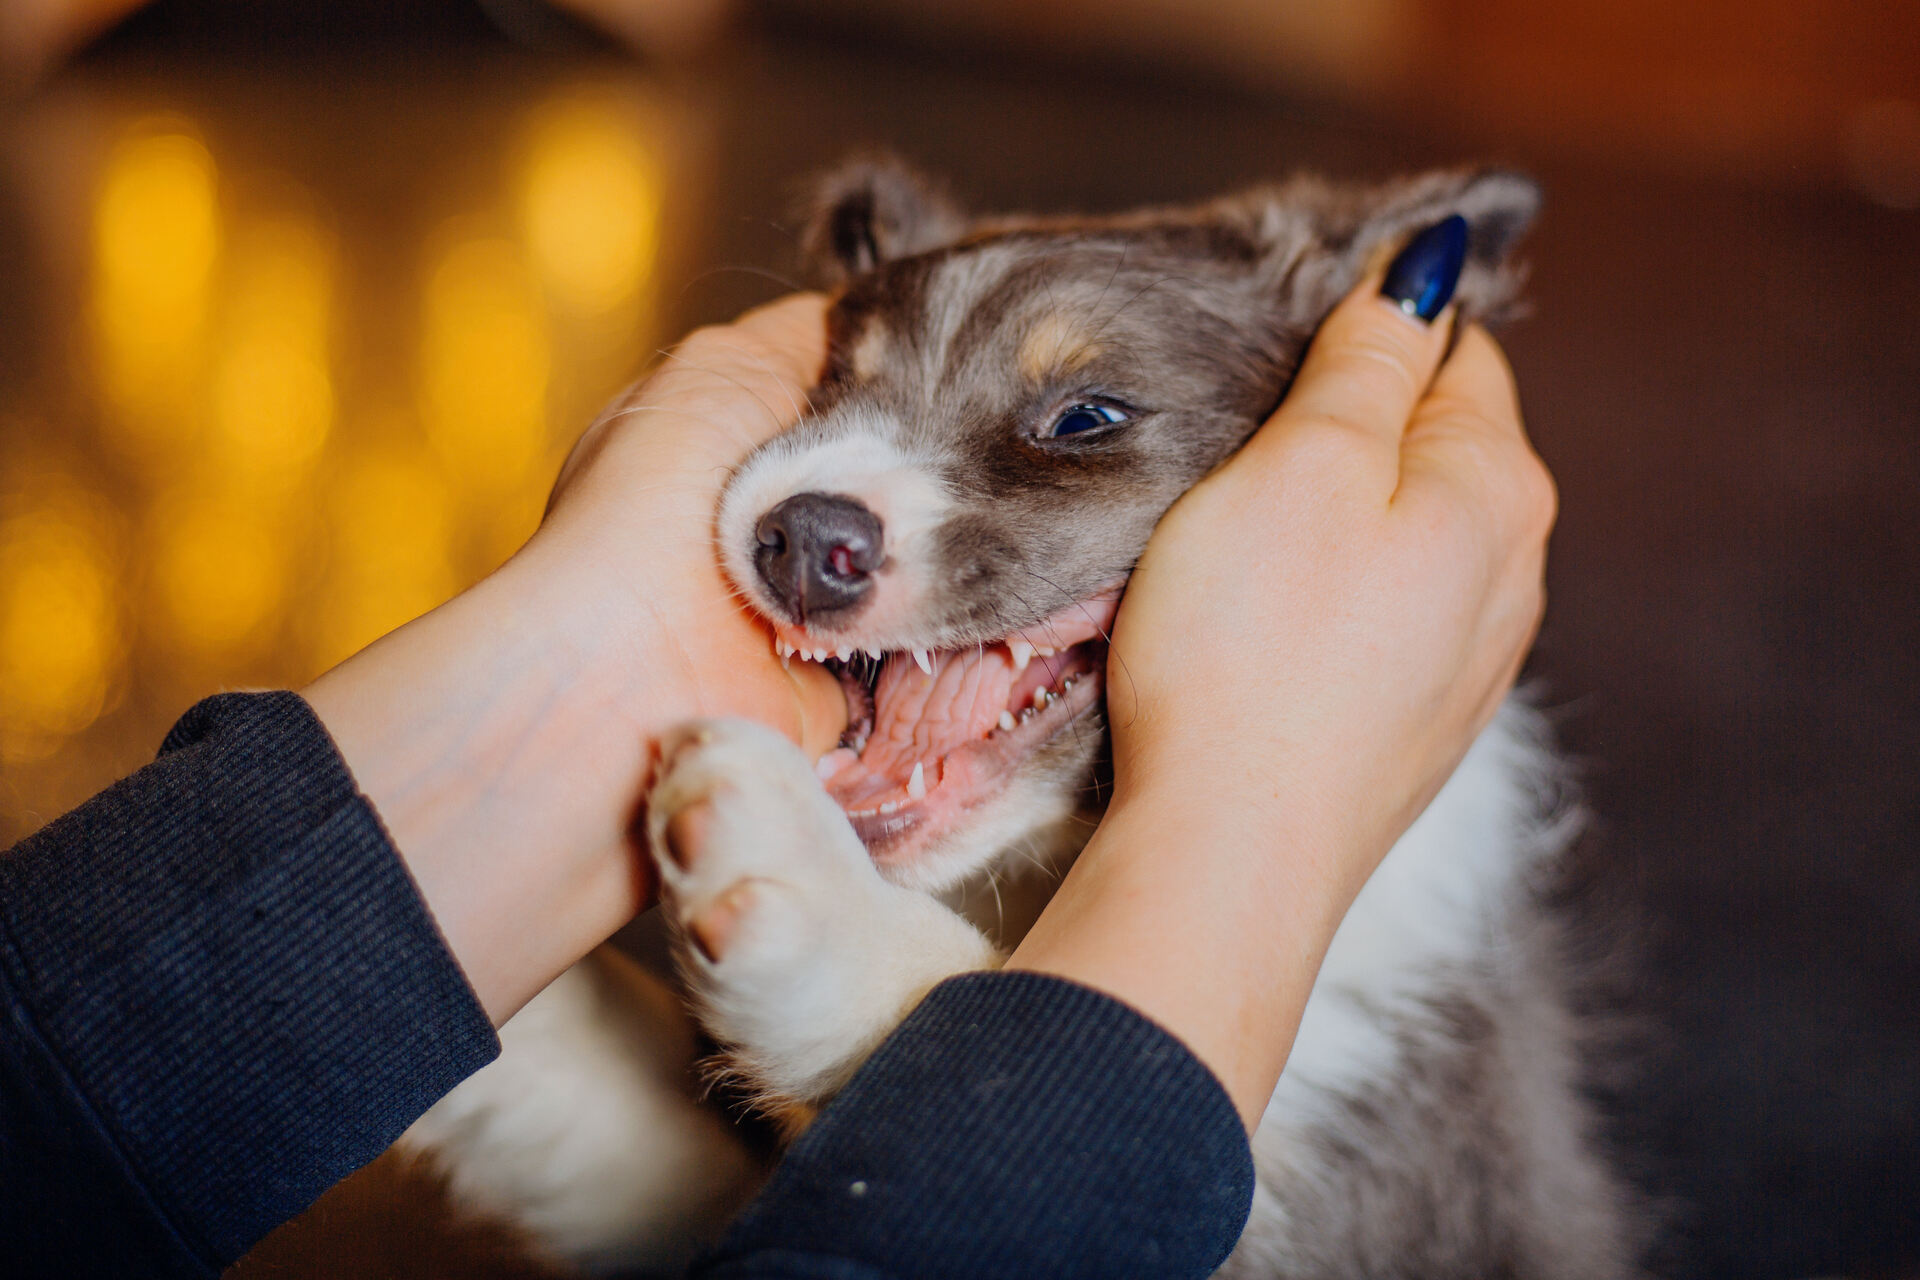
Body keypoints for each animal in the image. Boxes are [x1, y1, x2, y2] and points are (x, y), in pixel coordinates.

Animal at [405, 160, 1651, 1280]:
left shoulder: (1371, 1187)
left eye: (1085, 416)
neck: (1048, 876)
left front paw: (803, 887)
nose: (801, 543)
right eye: (831, 385)